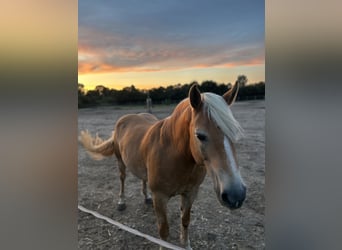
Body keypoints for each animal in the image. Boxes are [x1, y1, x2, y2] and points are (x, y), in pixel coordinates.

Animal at [79, 83, 246, 249]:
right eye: (200, 135)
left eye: (235, 132)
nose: (236, 195)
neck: (174, 153)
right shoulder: (160, 197)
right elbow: (164, 231)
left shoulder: (191, 193)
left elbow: (185, 221)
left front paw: (186, 245)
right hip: (120, 161)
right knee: (122, 179)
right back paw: (121, 201)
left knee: (143, 178)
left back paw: (146, 197)